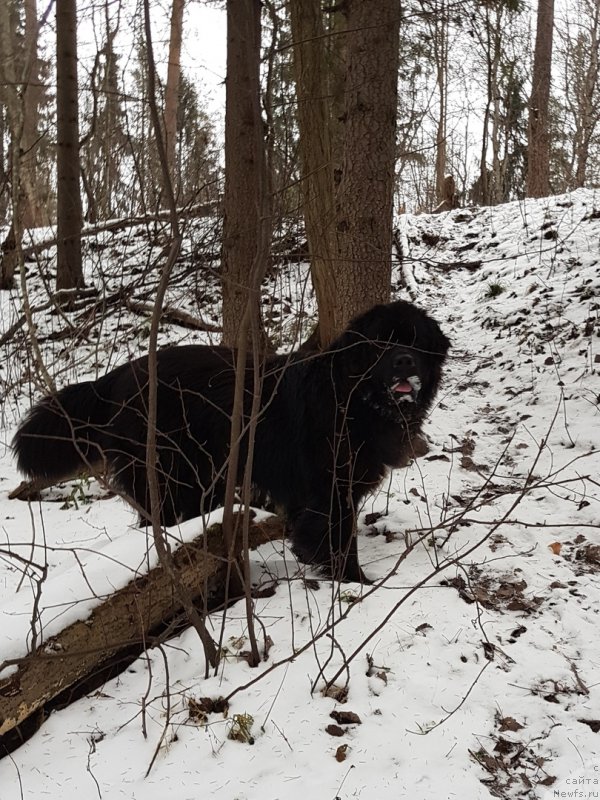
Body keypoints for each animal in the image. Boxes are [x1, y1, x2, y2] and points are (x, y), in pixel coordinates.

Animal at [12, 300, 450, 580]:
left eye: (416, 342)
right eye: (381, 343)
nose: (404, 361)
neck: (352, 398)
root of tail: (118, 375)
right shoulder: (329, 489)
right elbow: (337, 538)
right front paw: (354, 582)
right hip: (168, 473)